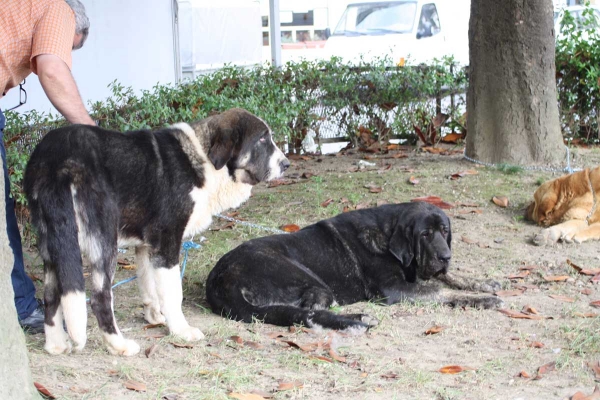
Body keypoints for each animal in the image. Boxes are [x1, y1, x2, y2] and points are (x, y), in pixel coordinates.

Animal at [25, 108, 290, 354]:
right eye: (262, 139)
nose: (287, 164)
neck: (202, 158)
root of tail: (55, 160)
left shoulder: (146, 246)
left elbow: (149, 286)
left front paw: (154, 317)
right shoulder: (167, 244)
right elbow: (173, 294)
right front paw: (181, 330)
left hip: (55, 245)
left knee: (51, 297)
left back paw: (55, 345)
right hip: (104, 243)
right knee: (100, 298)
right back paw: (119, 345)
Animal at [206, 203, 502, 332]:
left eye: (445, 231)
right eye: (425, 235)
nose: (445, 256)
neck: (388, 234)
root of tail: (220, 281)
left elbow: (450, 279)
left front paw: (482, 283)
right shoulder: (393, 289)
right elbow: (440, 291)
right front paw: (482, 299)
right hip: (309, 280)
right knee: (310, 311)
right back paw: (360, 317)